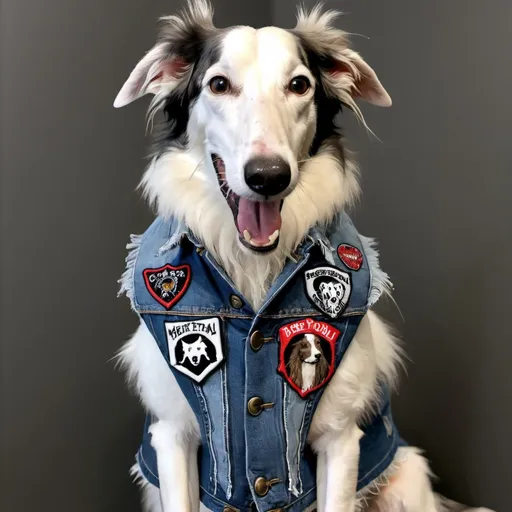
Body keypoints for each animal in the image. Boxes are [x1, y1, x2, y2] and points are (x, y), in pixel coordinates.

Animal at [115, 1, 492, 512]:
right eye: (219, 84)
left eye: (299, 85)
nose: (268, 176)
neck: (254, 270)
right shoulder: (172, 435)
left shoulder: (341, 437)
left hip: (406, 478)